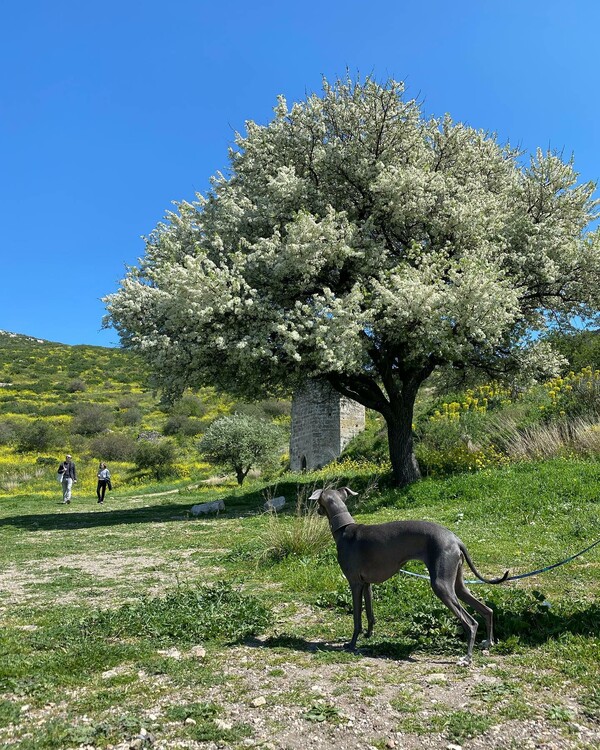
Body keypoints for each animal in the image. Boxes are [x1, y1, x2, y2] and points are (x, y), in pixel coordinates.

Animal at [312, 490, 508, 668]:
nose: (317, 511)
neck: (345, 530)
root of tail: (456, 540)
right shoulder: (366, 584)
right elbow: (370, 614)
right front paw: (368, 635)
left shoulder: (355, 583)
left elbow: (357, 619)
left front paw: (352, 643)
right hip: (456, 584)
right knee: (487, 610)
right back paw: (488, 643)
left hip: (441, 585)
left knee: (471, 623)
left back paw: (467, 658)